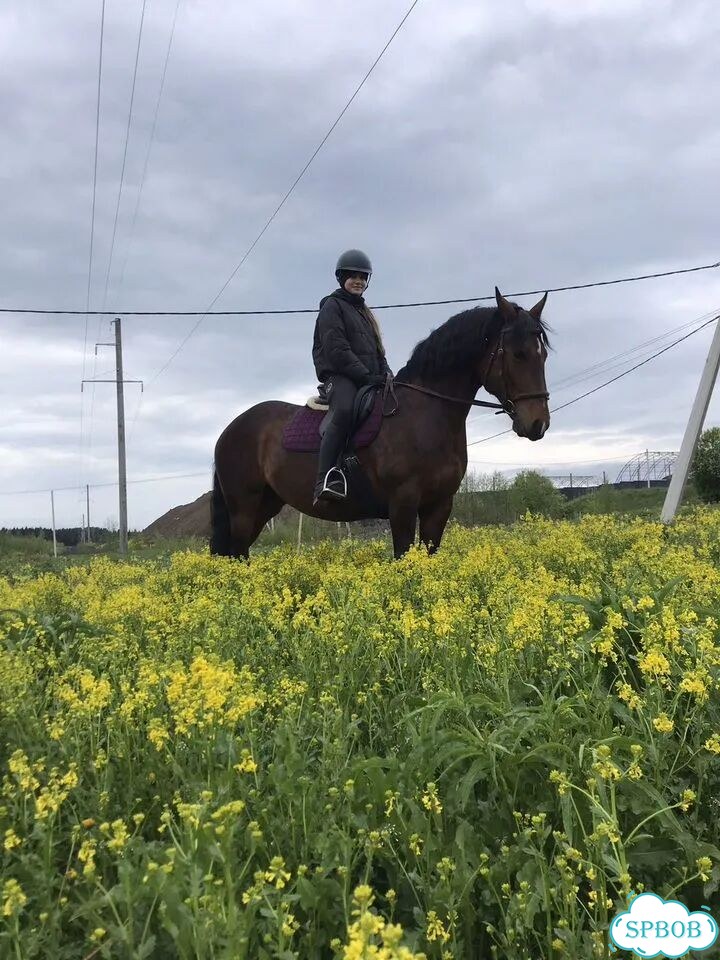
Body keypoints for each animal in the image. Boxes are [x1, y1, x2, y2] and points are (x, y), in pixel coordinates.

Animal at [210, 287, 551, 560]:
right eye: (518, 354)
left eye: (543, 355)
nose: (538, 424)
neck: (425, 414)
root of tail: (230, 429)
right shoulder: (402, 505)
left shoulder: (439, 506)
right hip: (243, 508)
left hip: (264, 506)